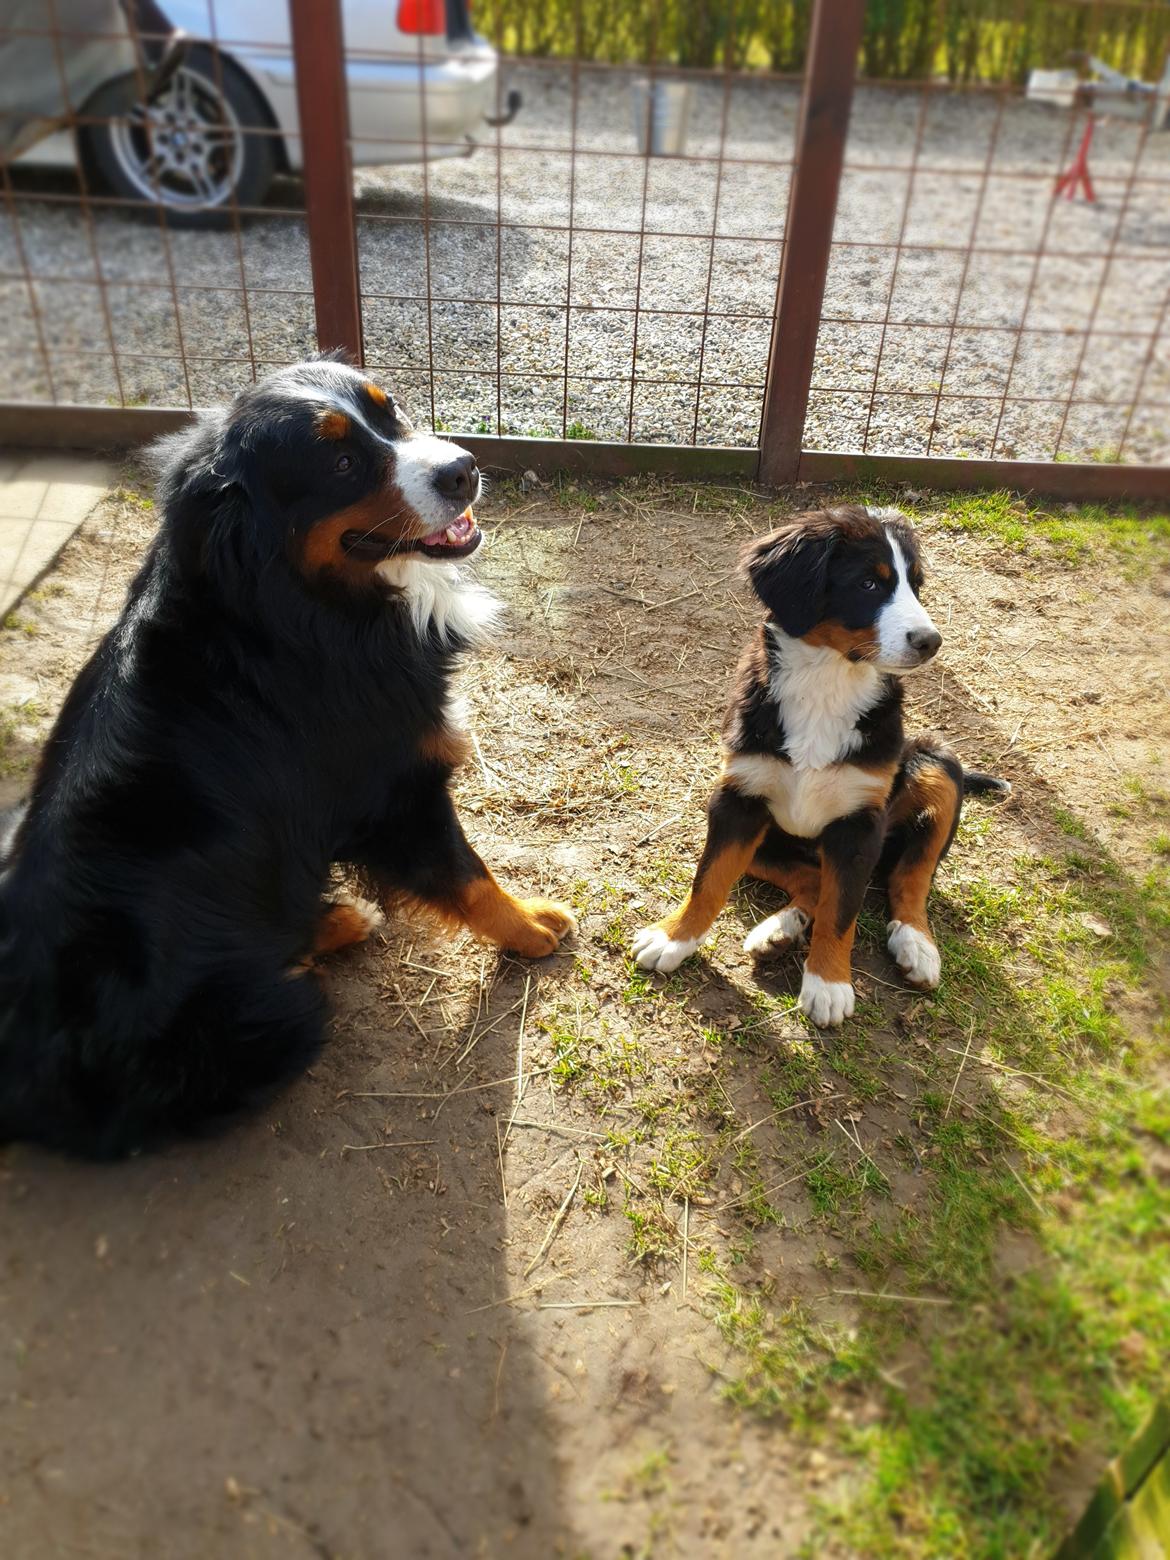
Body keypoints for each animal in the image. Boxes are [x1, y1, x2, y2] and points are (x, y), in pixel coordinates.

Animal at [0, 357, 577, 1160]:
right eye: (339, 464)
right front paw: (531, 928)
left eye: (391, 412)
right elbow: (469, 875)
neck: (297, 605)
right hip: (279, 1019)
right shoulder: (398, 792)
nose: (462, 469)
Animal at [633, 505, 1010, 1029]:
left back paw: (915, 944)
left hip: (936, 761)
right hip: (768, 839)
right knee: (813, 877)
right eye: (869, 584)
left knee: (909, 876)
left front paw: (828, 983)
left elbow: (842, 909)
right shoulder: (738, 799)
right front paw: (674, 937)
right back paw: (778, 930)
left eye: (916, 585)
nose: (930, 641)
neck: (827, 680)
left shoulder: (859, 823)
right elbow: (709, 879)